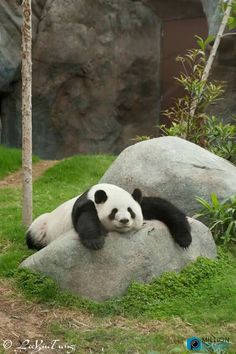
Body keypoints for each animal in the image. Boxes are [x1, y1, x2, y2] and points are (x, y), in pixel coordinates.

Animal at [26, 184, 192, 250]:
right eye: (114, 211)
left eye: (131, 211)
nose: (124, 220)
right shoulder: (86, 204)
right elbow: (86, 219)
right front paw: (96, 242)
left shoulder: (139, 202)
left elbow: (164, 208)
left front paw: (184, 239)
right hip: (43, 226)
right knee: (35, 232)